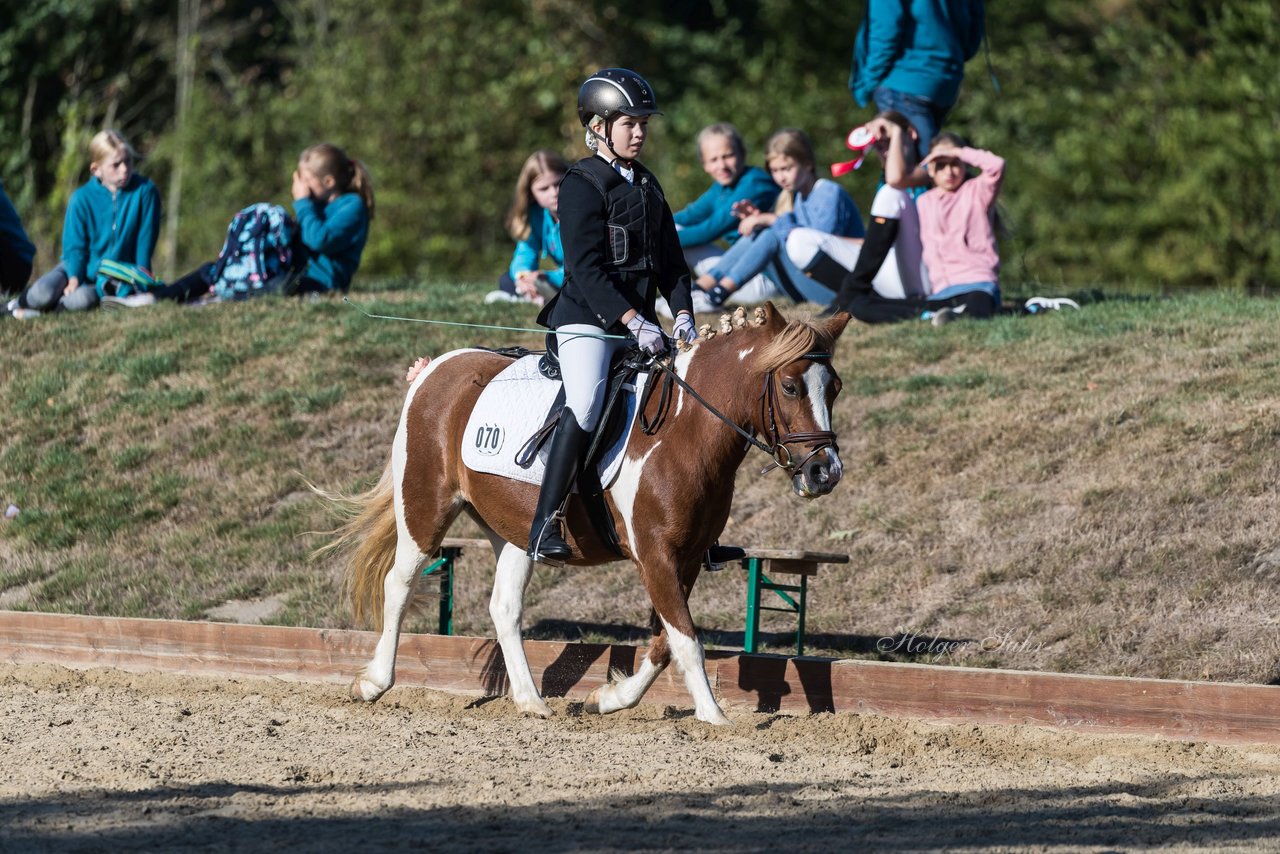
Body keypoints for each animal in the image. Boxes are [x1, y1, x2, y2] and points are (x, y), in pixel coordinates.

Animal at [325, 303, 849, 727]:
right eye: (789, 386)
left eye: (835, 389)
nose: (825, 473)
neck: (685, 430)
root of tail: (435, 367)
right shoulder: (655, 555)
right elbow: (685, 638)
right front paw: (714, 717)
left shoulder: (687, 559)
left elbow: (664, 641)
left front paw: (611, 698)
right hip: (425, 507)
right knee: (400, 582)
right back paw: (373, 683)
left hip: (517, 532)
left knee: (504, 607)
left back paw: (531, 702)